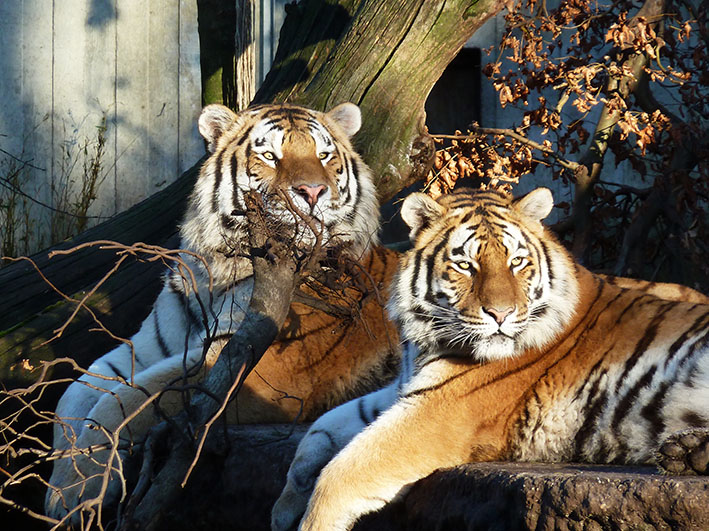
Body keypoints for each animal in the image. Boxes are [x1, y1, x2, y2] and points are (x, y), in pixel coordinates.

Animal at [45, 102, 404, 524]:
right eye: (270, 156)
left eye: (324, 156)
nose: (312, 192)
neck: (217, 270)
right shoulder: (150, 347)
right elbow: (75, 393)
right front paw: (59, 482)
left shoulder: (256, 368)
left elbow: (125, 402)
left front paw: (78, 490)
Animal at [272, 185, 708, 528]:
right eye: (466, 265)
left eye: (516, 262)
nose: (501, 314)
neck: (426, 339)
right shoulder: (404, 391)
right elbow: (317, 433)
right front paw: (284, 507)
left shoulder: (435, 412)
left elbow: (341, 474)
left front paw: (309, 519)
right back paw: (687, 453)